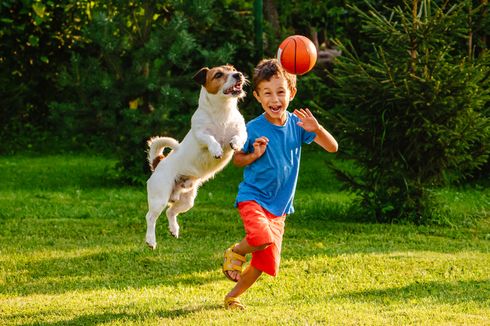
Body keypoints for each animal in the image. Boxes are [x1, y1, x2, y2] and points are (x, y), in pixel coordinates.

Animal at [144, 65, 247, 250]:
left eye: (232, 69)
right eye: (218, 74)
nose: (238, 74)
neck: (223, 111)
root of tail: (158, 163)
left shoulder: (241, 130)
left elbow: (239, 136)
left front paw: (235, 144)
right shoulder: (201, 134)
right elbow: (210, 139)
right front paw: (216, 149)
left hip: (187, 201)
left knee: (171, 211)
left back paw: (174, 229)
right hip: (159, 197)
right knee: (150, 217)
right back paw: (150, 240)